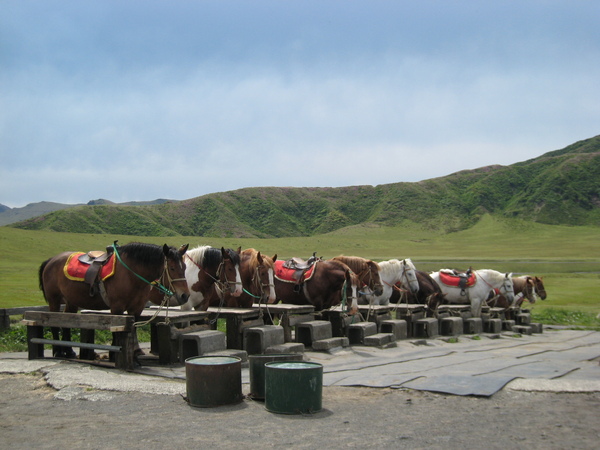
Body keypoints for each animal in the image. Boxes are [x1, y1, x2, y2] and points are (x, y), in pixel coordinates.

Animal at [38, 243, 189, 358]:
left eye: (185, 267)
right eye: (172, 268)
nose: (184, 295)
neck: (131, 274)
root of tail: (51, 260)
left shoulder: (137, 308)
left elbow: (133, 328)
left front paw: (135, 351)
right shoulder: (117, 307)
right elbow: (117, 330)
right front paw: (115, 353)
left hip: (71, 301)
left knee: (66, 322)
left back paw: (68, 351)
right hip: (54, 299)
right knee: (54, 323)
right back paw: (58, 351)